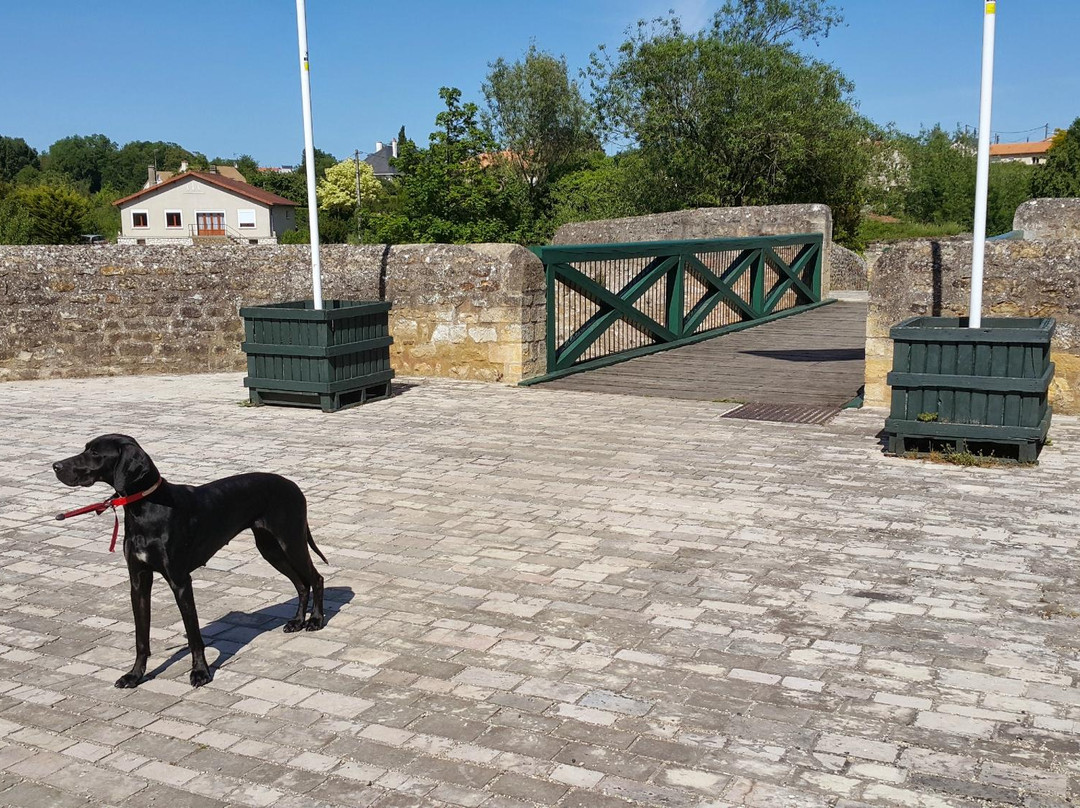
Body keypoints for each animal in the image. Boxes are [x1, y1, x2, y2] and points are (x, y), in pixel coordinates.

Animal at [54, 436, 324, 687]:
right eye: (87, 448)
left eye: (95, 453)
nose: (55, 466)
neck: (146, 507)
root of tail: (293, 485)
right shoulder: (138, 581)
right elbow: (141, 637)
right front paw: (135, 675)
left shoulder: (181, 581)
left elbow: (194, 635)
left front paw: (201, 672)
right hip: (270, 549)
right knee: (301, 583)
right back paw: (298, 621)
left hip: (291, 542)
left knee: (316, 578)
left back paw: (315, 620)